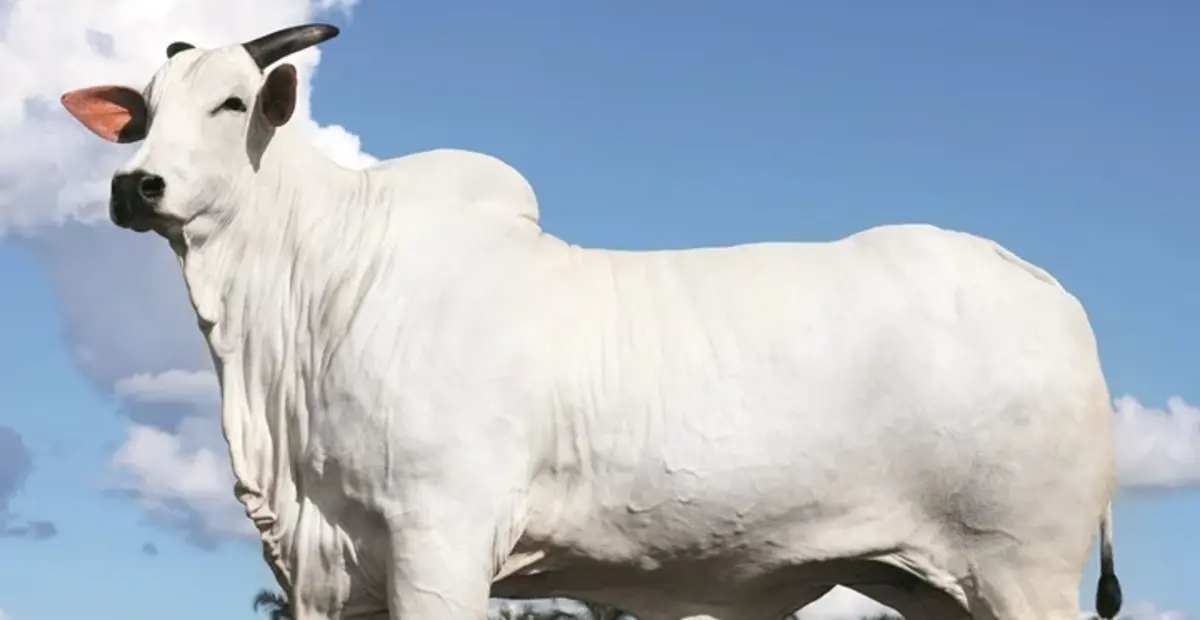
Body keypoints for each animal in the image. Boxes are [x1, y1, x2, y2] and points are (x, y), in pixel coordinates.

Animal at [60, 23, 1123, 620]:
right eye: (140, 113)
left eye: (232, 102)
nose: (134, 185)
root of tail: (1047, 290)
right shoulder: (327, 572)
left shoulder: (442, 543)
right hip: (928, 585)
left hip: (1025, 570)